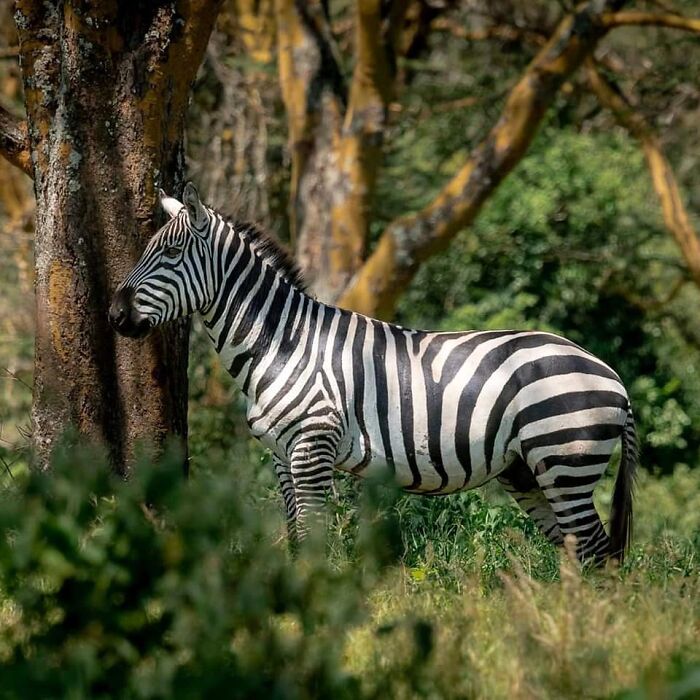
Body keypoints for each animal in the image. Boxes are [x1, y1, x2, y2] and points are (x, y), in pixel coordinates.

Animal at [109, 183, 637, 564]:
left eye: (171, 254)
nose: (115, 314)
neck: (280, 344)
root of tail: (609, 372)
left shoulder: (313, 447)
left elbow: (314, 534)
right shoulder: (281, 456)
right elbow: (296, 533)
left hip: (564, 456)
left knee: (595, 550)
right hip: (527, 470)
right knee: (582, 551)